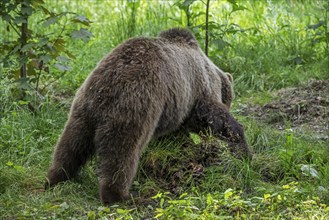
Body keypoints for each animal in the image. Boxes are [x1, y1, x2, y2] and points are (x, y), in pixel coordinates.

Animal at [45, 27, 251, 205]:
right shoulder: (198, 89)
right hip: (137, 105)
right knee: (122, 153)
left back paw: (56, 177)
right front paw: (243, 149)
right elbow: (215, 117)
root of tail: (108, 83)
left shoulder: (181, 104)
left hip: (83, 108)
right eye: (230, 97)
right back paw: (119, 195)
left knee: (71, 144)